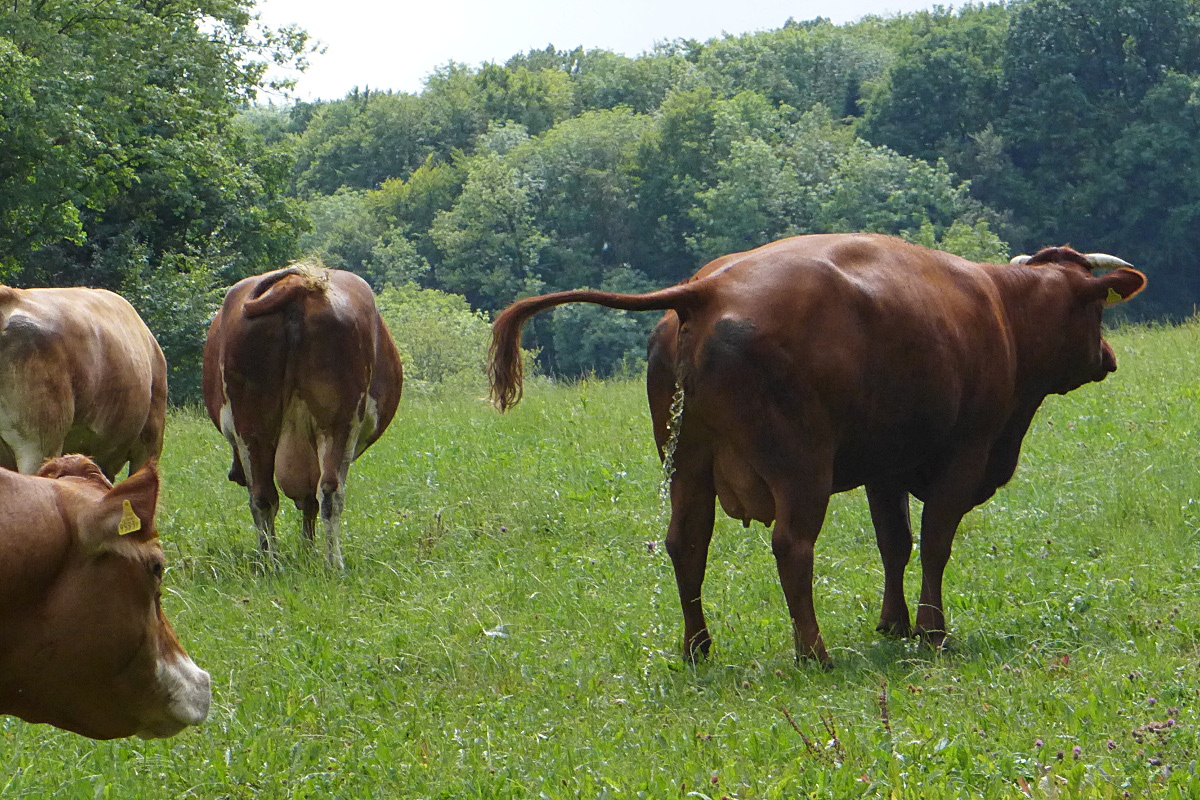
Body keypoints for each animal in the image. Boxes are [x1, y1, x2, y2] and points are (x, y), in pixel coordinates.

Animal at [202, 262, 404, 569]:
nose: (233, 473)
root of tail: (297, 285)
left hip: (254, 425)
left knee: (265, 497)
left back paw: (271, 562)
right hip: (340, 422)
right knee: (329, 491)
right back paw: (332, 563)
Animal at [488, 233, 1146, 665]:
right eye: (1096, 311)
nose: (1110, 358)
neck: (1003, 309)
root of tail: (709, 287)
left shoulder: (886, 465)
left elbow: (895, 543)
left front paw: (893, 623)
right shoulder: (964, 454)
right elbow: (934, 544)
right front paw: (932, 631)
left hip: (688, 466)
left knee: (686, 545)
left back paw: (699, 647)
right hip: (800, 467)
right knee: (791, 546)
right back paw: (814, 652)